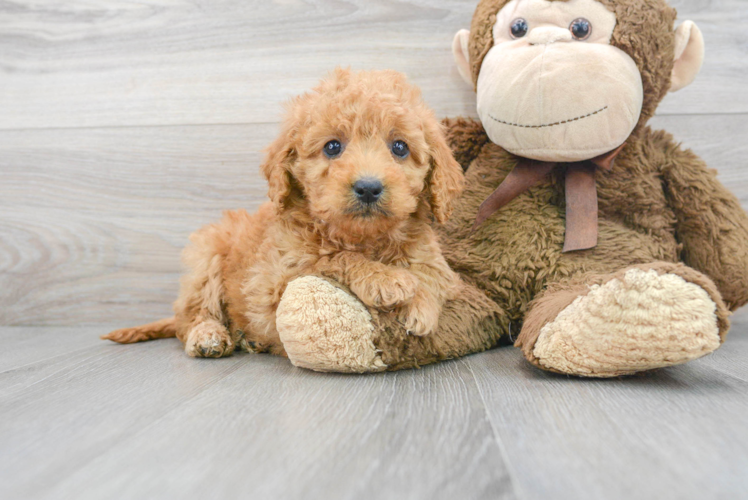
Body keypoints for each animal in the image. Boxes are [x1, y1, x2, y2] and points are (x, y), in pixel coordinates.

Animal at [103, 69, 468, 360]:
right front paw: (386, 280)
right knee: (191, 315)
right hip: (206, 256)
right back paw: (209, 336)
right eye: (332, 147)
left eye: (400, 148)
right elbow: (332, 258)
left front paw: (421, 305)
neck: (364, 238)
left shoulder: (439, 265)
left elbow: (433, 275)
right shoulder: (277, 281)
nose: (368, 187)